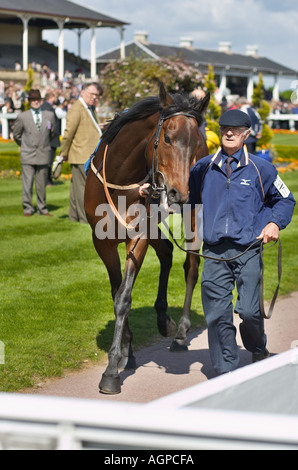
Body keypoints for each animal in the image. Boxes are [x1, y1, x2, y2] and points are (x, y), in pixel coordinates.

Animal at [84, 83, 210, 392]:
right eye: (167, 138)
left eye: (194, 144)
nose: (178, 192)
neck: (121, 181)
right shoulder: (102, 241)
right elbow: (116, 290)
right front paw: (125, 353)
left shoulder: (138, 236)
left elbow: (123, 297)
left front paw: (111, 371)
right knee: (165, 252)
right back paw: (163, 318)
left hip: (191, 210)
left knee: (191, 266)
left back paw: (180, 332)